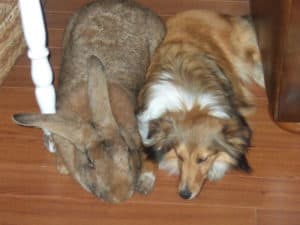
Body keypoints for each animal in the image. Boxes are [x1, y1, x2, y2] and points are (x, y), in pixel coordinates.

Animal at [137, 10, 264, 200]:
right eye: (179, 156)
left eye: (202, 159)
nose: (184, 195)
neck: (191, 104)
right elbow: (147, 149)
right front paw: (146, 177)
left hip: (246, 54)